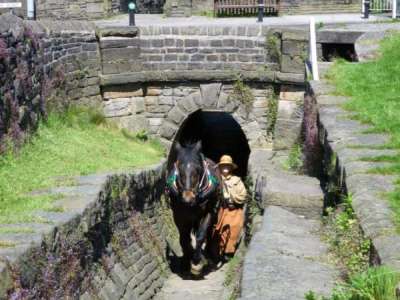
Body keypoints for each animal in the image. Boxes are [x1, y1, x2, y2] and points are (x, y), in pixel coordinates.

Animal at [166, 141, 222, 276]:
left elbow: (201, 236)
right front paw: (186, 261)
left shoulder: (209, 212)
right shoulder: (179, 215)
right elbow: (184, 239)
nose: (188, 197)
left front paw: (196, 262)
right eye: (179, 169)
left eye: (198, 169)